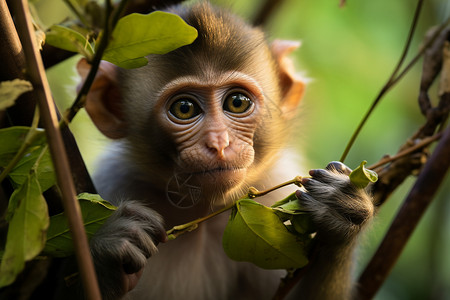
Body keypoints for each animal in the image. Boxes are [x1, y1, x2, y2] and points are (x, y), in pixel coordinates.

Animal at [74, 2, 376, 300]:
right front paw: (109, 250)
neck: (204, 212)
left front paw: (343, 213)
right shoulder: (113, 183)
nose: (219, 143)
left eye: (237, 102)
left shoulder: (274, 189)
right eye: (184, 108)